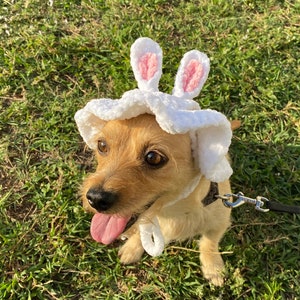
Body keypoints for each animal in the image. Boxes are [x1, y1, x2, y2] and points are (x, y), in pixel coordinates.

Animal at [79, 113, 239, 286]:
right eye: (102, 145)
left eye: (153, 157)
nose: (95, 198)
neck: (172, 211)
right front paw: (132, 248)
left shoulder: (220, 222)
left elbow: (210, 242)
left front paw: (213, 268)